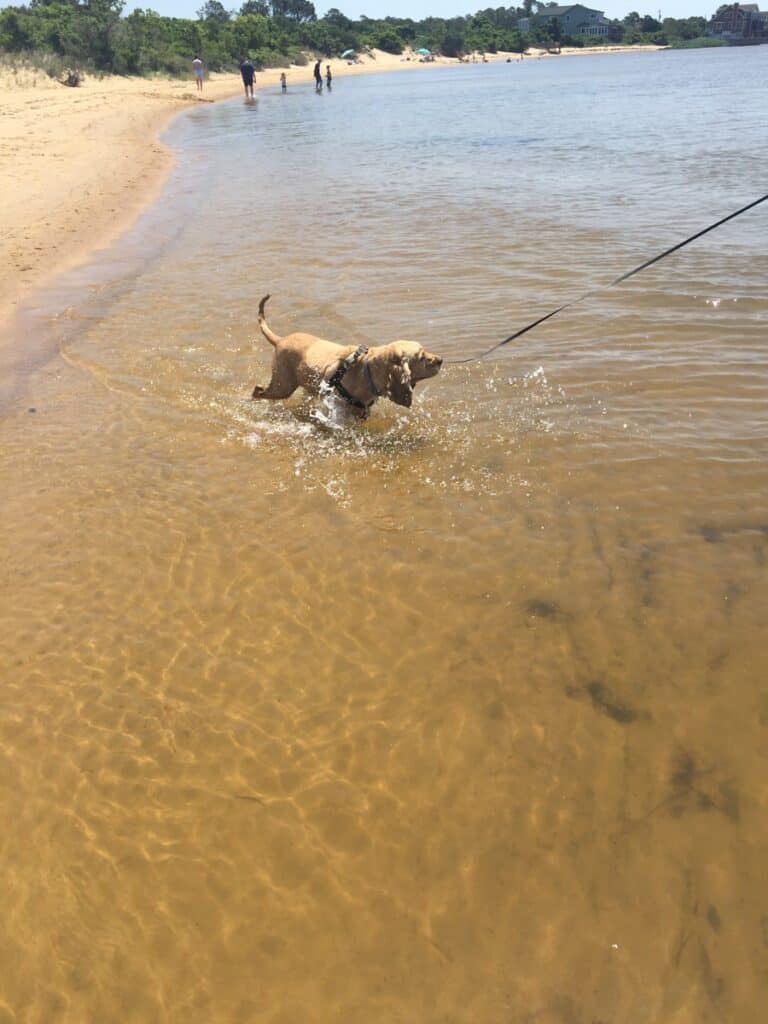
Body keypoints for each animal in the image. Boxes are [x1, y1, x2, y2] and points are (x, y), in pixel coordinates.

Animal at [252, 294, 444, 413]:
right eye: (421, 357)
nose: (441, 360)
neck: (368, 370)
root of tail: (280, 340)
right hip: (282, 385)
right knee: (258, 390)